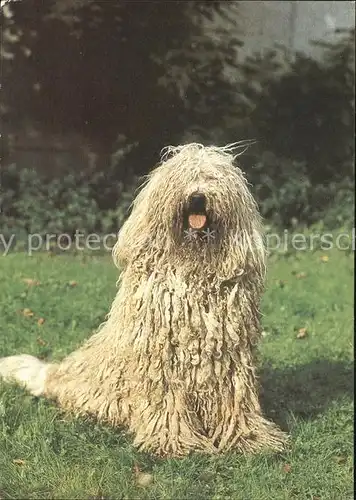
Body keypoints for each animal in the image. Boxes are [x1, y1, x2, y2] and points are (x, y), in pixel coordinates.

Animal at [0, 144, 286, 458]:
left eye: (212, 178)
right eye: (182, 178)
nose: (197, 197)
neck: (194, 269)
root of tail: (57, 373)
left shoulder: (229, 360)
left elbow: (233, 399)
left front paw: (248, 438)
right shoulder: (162, 358)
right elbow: (166, 399)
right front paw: (172, 440)